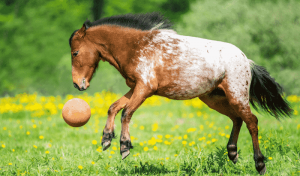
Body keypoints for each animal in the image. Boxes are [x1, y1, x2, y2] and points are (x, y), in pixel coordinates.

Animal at [68, 12, 292, 175]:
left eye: (75, 53)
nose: (78, 84)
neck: (137, 47)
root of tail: (246, 60)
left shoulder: (145, 88)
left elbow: (126, 112)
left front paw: (124, 147)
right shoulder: (135, 87)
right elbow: (113, 107)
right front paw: (106, 139)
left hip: (237, 96)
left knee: (251, 121)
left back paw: (260, 164)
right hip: (214, 99)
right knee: (237, 119)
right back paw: (232, 153)